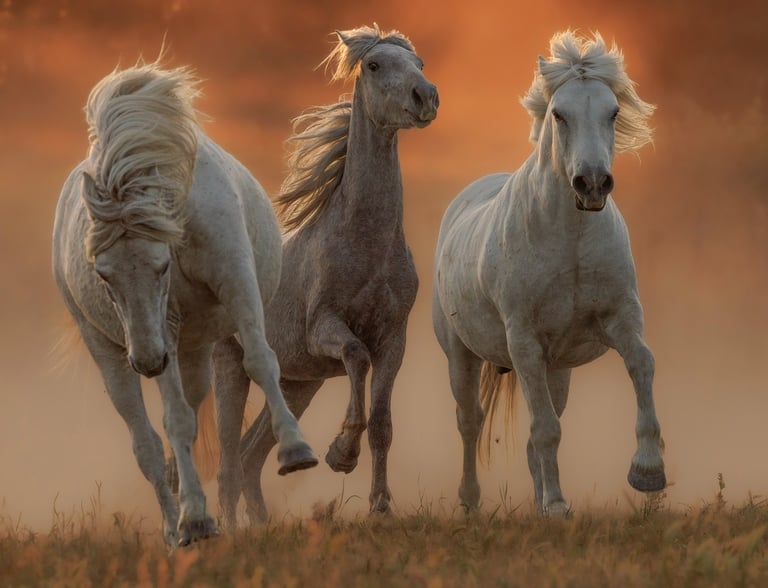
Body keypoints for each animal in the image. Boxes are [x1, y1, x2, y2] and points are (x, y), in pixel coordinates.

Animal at [52, 60, 317, 546]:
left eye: (161, 266)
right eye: (103, 275)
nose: (147, 361)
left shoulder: (237, 283)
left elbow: (260, 360)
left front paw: (295, 449)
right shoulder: (165, 328)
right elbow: (173, 421)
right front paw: (194, 518)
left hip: (193, 347)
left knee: (191, 411)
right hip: (117, 351)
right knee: (148, 442)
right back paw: (179, 525)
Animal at [211, 24, 439, 528]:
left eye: (419, 63)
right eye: (374, 65)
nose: (426, 97)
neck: (366, 244)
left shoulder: (393, 341)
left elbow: (383, 424)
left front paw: (380, 507)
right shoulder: (325, 329)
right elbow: (356, 358)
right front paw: (340, 454)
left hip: (297, 383)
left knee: (251, 455)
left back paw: (262, 525)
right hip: (231, 368)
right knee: (227, 462)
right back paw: (230, 531)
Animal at [432, 31, 665, 516]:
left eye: (613, 112)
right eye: (559, 114)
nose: (592, 183)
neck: (571, 241)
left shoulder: (619, 319)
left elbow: (642, 364)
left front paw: (648, 472)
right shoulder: (524, 342)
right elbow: (545, 430)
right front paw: (558, 507)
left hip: (556, 369)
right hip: (463, 356)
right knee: (470, 423)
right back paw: (471, 503)